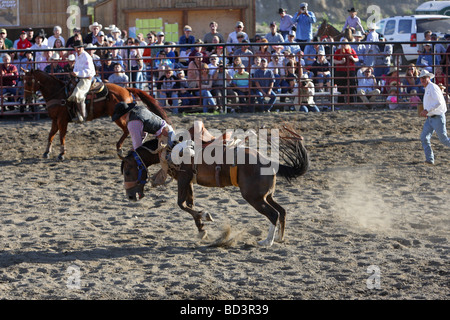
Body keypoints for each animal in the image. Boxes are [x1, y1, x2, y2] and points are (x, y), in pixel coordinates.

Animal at [21, 69, 169, 161]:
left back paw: (120, 149)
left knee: (127, 130)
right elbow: (51, 134)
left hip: (119, 116)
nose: (26, 99)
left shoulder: (62, 120)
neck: (58, 93)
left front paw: (61, 154)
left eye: (28, 82)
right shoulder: (54, 119)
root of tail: (126, 89)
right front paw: (47, 152)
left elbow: (61, 135)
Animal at [119, 124, 310, 246]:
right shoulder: (189, 181)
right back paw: (279, 238)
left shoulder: (184, 178)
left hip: (254, 197)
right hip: (266, 195)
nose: (130, 196)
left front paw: (204, 216)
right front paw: (201, 227)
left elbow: (181, 204)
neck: (168, 149)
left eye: (127, 172)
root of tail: (270, 161)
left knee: (273, 214)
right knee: (282, 211)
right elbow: (190, 203)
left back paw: (267, 241)